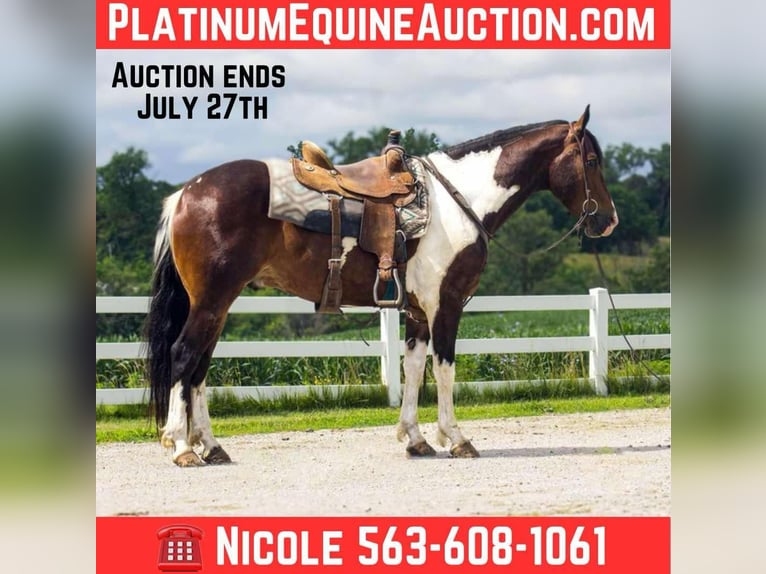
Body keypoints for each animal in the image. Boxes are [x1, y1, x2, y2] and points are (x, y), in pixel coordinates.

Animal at [145, 105, 618, 466]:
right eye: (592, 162)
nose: (608, 220)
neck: (458, 199)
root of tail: (186, 193)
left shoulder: (418, 311)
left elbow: (413, 367)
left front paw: (416, 439)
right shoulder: (447, 304)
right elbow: (444, 369)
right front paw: (456, 438)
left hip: (217, 305)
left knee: (200, 368)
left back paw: (211, 446)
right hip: (212, 301)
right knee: (184, 356)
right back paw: (182, 446)